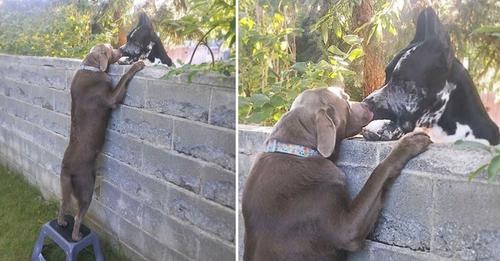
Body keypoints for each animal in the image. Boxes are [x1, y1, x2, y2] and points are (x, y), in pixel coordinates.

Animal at [58, 43, 146, 240]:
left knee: (63, 205)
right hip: (86, 187)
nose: (122, 49)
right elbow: (124, 78)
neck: (91, 66)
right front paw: (136, 65)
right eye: (111, 49)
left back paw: (62, 223)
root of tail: (67, 169)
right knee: (78, 216)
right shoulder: (111, 98)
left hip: (66, 187)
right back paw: (76, 236)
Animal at [241, 87, 430, 258]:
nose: (367, 104)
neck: (298, 150)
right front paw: (409, 143)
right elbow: (378, 172)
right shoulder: (346, 229)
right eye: (345, 99)